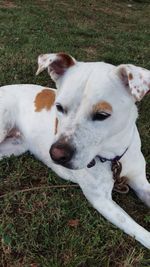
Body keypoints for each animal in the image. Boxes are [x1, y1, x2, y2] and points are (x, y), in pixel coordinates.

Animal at [0, 52, 149, 249]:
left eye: (102, 115)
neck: (114, 158)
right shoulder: (101, 200)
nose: (56, 155)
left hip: (13, 147)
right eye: (59, 107)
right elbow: (141, 232)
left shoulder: (141, 182)